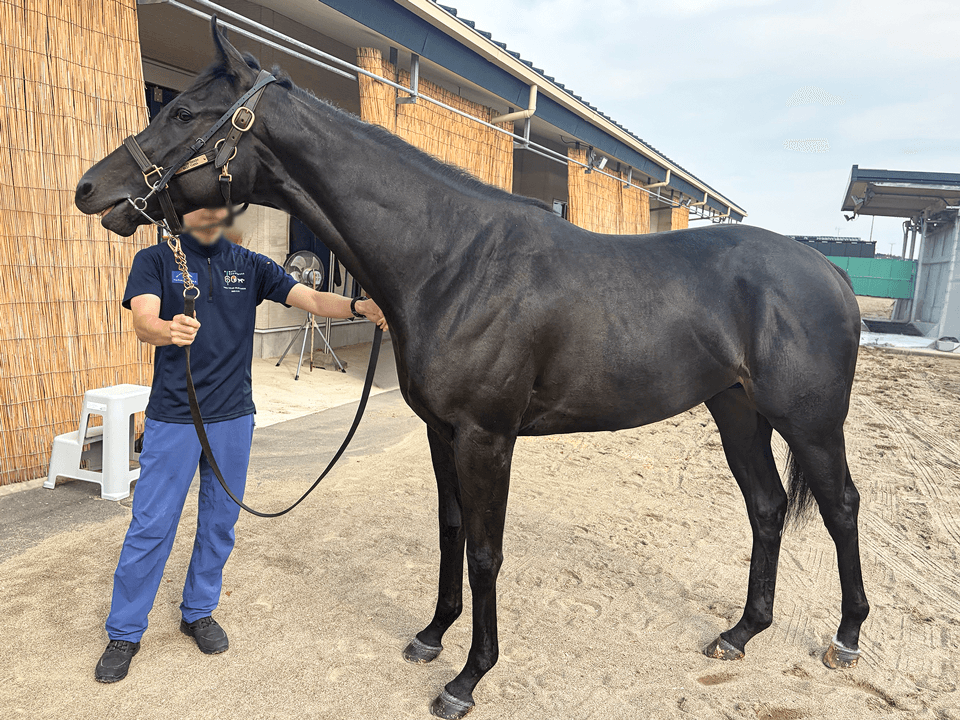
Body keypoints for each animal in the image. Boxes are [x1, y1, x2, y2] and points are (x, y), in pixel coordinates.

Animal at [76, 20, 869, 719]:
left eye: (182, 112)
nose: (89, 189)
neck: (452, 259)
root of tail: (829, 271)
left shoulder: (487, 438)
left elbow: (486, 551)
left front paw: (469, 677)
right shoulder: (443, 433)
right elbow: (450, 532)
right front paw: (433, 635)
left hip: (810, 423)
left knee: (839, 507)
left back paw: (847, 637)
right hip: (737, 410)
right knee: (766, 508)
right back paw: (741, 633)